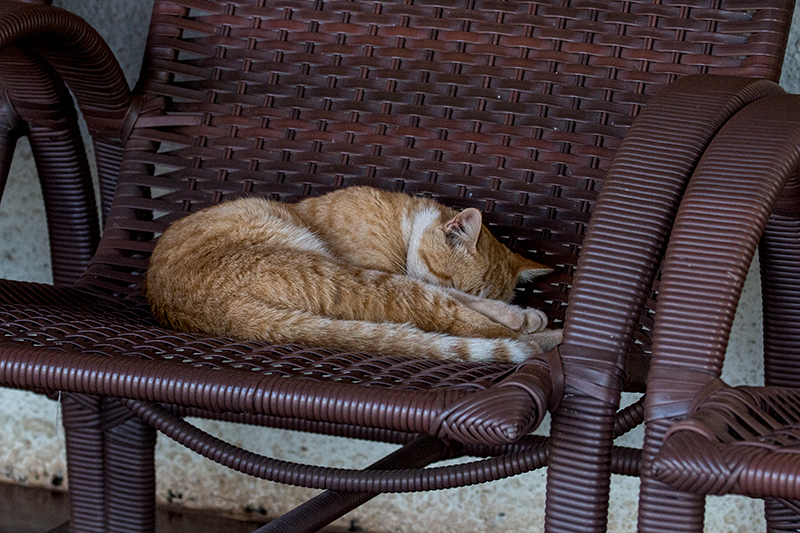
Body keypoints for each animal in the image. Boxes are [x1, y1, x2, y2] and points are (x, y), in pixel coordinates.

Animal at [148, 185, 564, 364]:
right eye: (449, 276)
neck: (406, 221)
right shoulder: (387, 271)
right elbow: (461, 299)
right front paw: (519, 314)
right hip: (354, 277)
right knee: (467, 325)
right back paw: (545, 333)